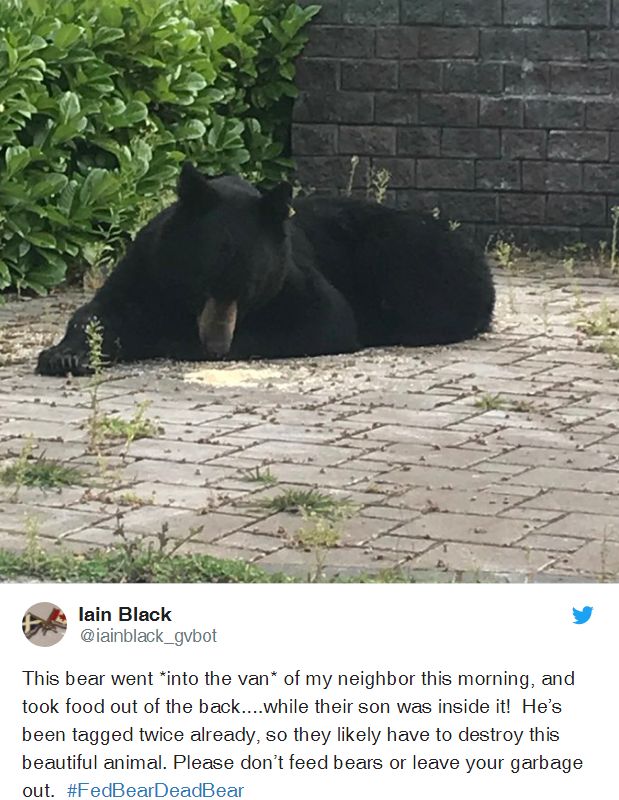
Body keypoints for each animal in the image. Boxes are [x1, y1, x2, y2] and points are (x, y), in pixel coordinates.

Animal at [37, 164, 494, 376]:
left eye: (250, 288)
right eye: (204, 281)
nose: (216, 346)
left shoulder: (291, 277)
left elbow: (325, 319)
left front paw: (167, 338)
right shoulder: (148, 264)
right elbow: (102, 310)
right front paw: (66, 355)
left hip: (406, 257)